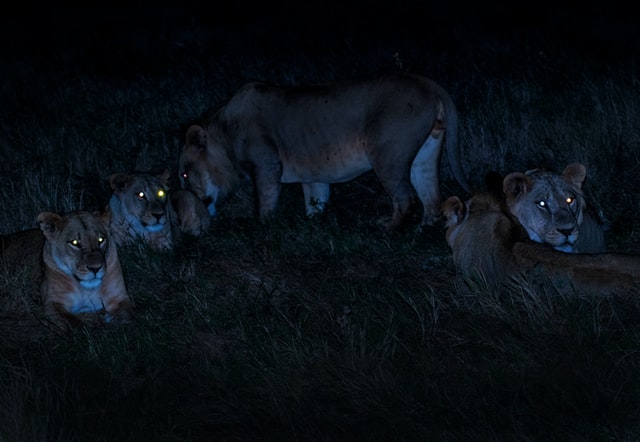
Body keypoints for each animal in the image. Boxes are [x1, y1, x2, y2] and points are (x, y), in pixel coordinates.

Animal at [1, 210, 133, 329]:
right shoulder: (52, 303)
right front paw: (91, 319)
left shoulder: (120, 297)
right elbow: (73, 323)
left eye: (101, 240)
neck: (86, 288)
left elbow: (126, 314)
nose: (95, 268)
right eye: (75, 242)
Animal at [178, 72, 470, 231]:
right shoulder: (312, 176)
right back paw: (421, 231)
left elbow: (266, 202)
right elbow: (315, 201)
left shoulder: (267, 164)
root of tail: (430, 84)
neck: (225, 131)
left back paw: (386, 231)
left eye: (184, 175)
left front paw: (263, 228)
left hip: (387, 154)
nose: (188, 203)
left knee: (405, 198)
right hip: (426, 153)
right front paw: (313, 224)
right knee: (431, 198)